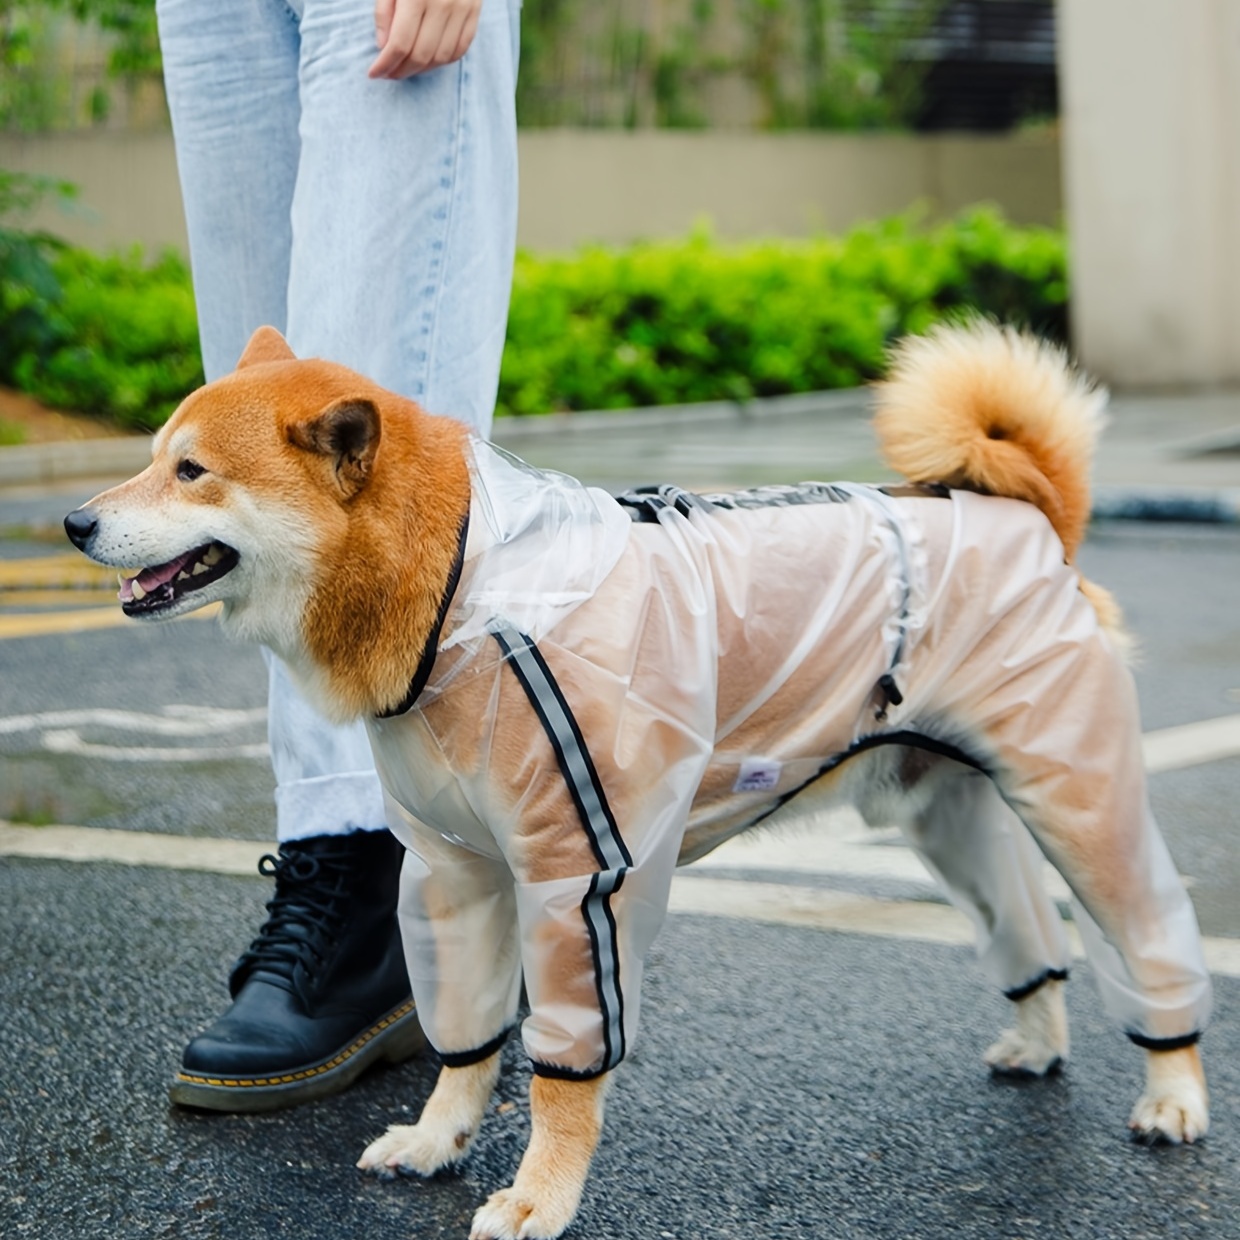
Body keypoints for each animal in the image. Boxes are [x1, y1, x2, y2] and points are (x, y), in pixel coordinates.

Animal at [65, 322, 1210, 1240]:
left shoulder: (579, 881)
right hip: (943, 813)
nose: (75, 522)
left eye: (192, 472)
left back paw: (1174, 1088)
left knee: (1143, 933)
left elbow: (564, 1076)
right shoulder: (451, 877)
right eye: (156, 457)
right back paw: (1035, 1036)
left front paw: (541, 1195)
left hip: (1079, 802)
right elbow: (466, 1043)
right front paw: (439, 1140)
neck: (464, 579)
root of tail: (1029, 514)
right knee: (1031, 932)